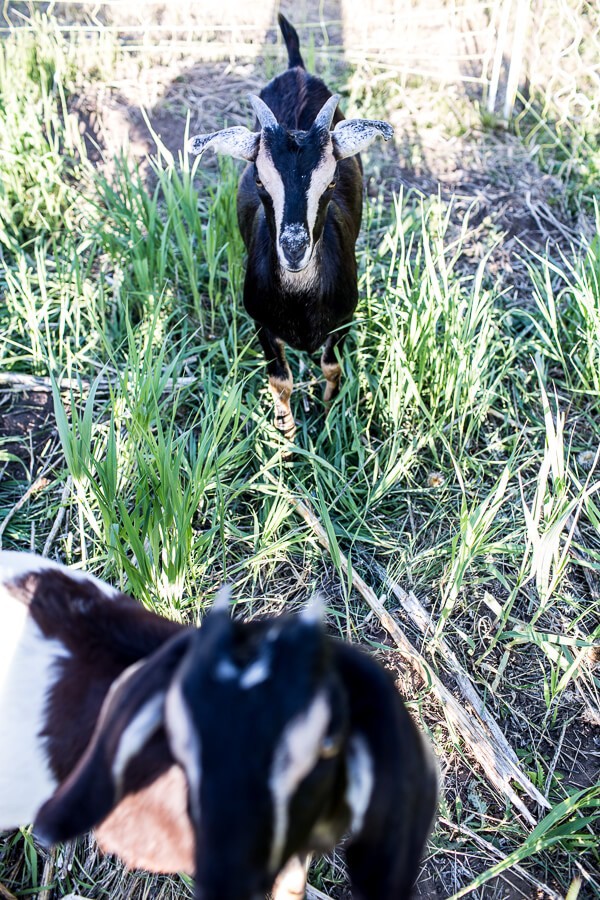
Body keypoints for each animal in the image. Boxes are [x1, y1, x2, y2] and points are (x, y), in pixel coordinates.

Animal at [188, 16, 394, 440]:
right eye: (259, 180)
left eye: (332, 181)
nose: (295, 248)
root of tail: (297, 68)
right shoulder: (261, 324)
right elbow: (279, 380)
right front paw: (286, 433)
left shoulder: (345, 319)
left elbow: (331, 365)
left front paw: (328, 411)